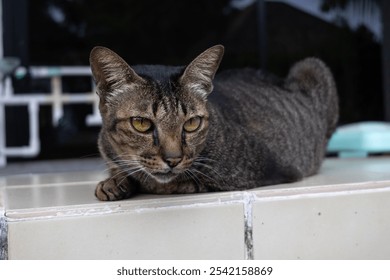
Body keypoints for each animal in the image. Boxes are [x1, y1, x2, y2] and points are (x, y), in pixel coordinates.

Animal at [89, 44, 338, 200]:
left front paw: (121, 182)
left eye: (192, 124)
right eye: (141, 123)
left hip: (312, 66)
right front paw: (114, 181)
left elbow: (169, 183)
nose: (173, 159)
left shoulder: (270, 170)